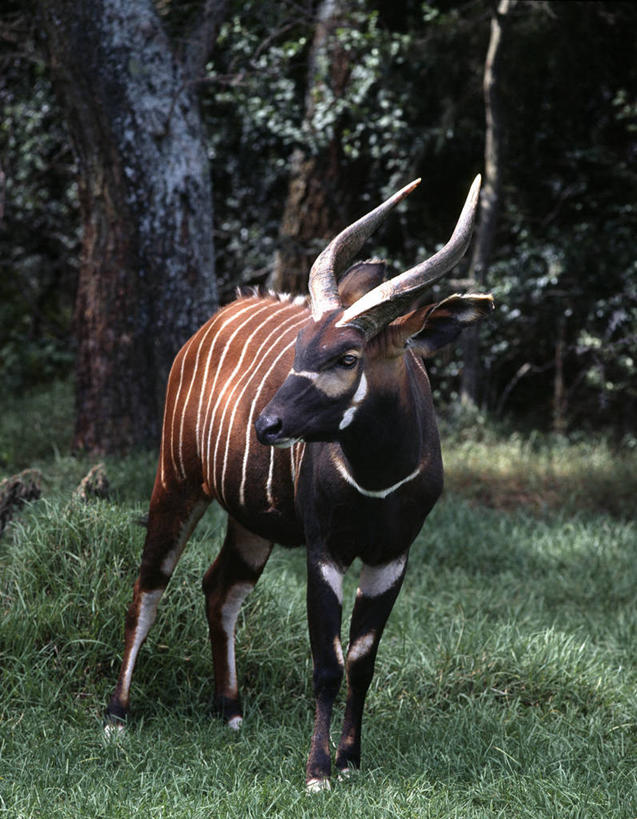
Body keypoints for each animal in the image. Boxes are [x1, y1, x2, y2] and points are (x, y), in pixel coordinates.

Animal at [105, 176, 492, 792]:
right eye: (300, 350)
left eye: (348, 356)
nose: (267, 425)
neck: (378, 479)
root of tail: (210, 324)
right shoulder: (324, 550)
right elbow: (327, 662)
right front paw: (318, 771)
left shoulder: (392, 556)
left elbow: (362, 659)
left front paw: (352, 760)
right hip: (177, 481)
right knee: (149, 586)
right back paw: (116, 716)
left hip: (251, 523)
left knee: (220, 587)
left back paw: (231, 710)